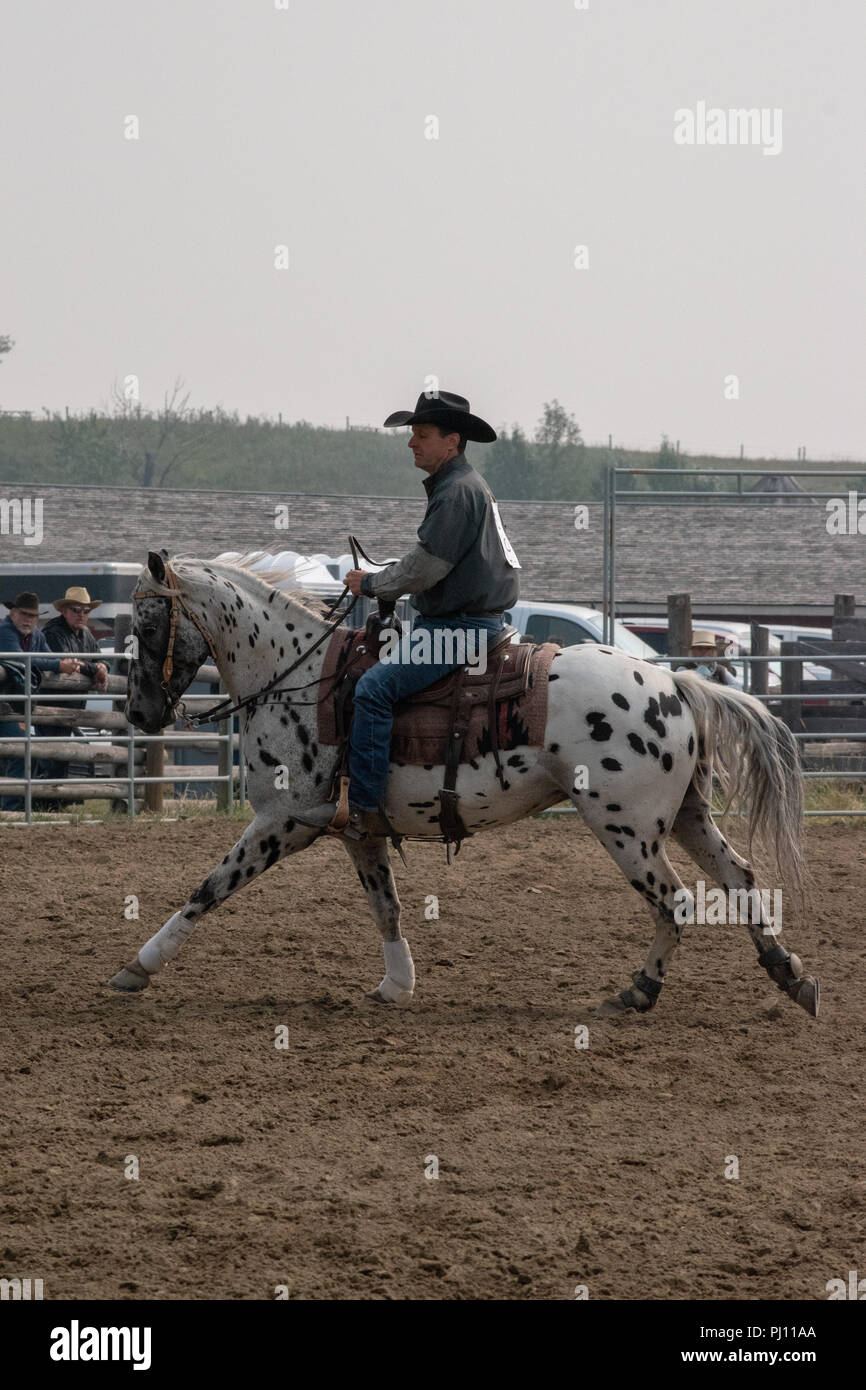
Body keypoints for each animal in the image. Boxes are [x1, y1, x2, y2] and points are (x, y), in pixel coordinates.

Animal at [109, 553, 817, 1023]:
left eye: (147, 624)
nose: (140, 712)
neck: (298, 678)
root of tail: (674, 683)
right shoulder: (357, 830)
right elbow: (386, 906)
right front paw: (398, 985)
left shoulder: (285, 819)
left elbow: (208, 889)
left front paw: (137, 966)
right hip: (688, 815)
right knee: (740, 879)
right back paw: (791, 976)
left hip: (627, 829)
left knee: (676, 902)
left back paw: (640, 990)